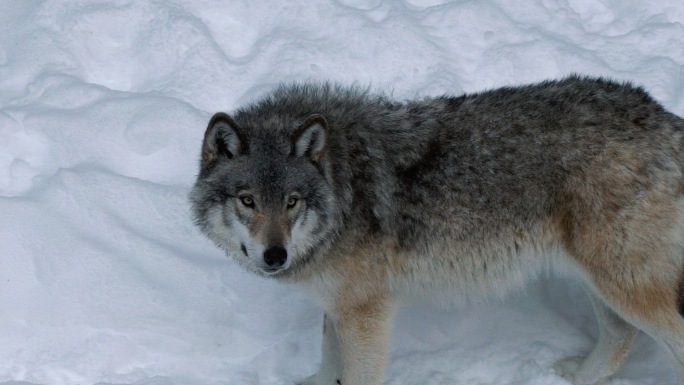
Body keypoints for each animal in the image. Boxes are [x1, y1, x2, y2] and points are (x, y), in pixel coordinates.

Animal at [190, 76, 684, 384]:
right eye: (248, 200)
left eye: (291, 201)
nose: (275, 256)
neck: (343, 187)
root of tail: (666, 118)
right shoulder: (338, 307)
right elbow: (330, 369)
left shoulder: (365, 313)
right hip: (599, 280)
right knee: (620, 337)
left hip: (620, 282)